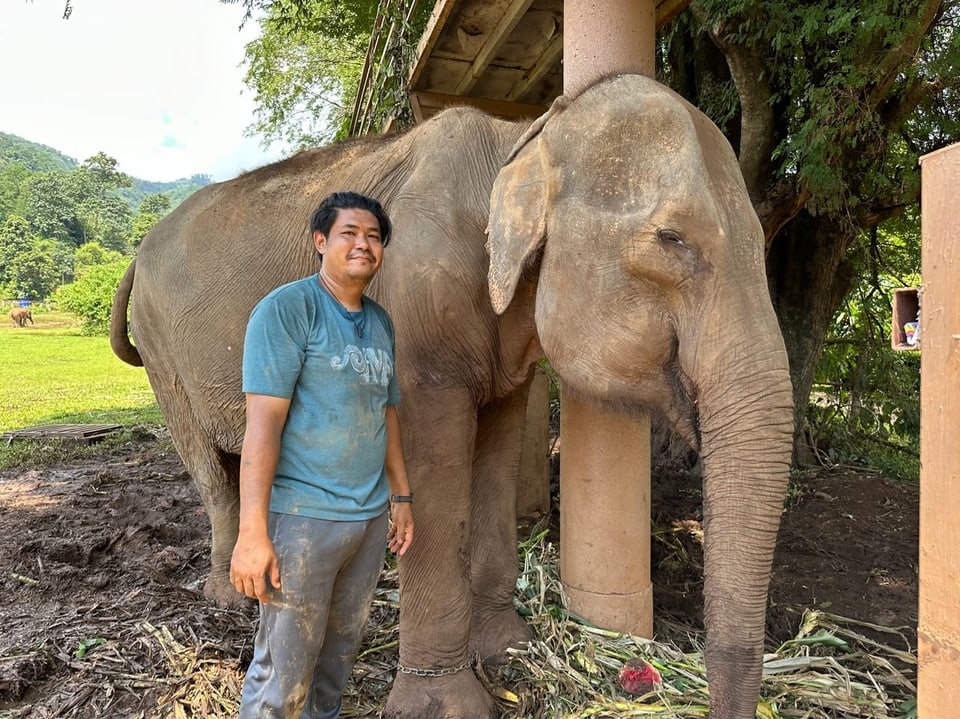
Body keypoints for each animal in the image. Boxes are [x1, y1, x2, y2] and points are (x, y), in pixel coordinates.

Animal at [110, 74, 796, 719]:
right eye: (672, 240)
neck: (524, 137)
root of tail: (137, 254)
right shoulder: (414, 309)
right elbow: (433, 471)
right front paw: (448, 704)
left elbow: (493, 459)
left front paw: (507, 645)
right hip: (161, 352)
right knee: (206, 462)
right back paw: (232, 593)